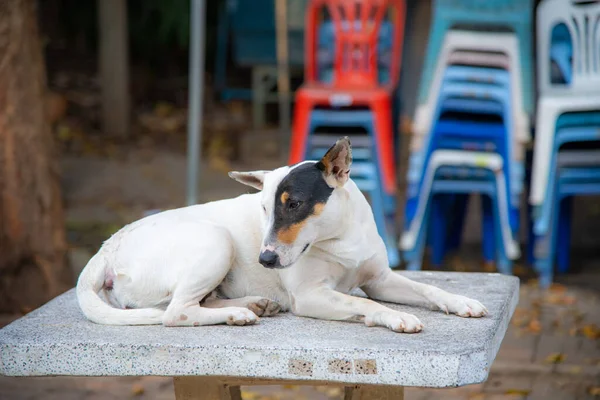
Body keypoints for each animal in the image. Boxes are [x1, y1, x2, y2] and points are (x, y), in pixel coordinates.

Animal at [76, 138, 488, 332]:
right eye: (263, 209)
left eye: (295, 205)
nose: (265, 260)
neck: (339, 238)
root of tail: (107, 248)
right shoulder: (311, 296)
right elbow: (364, 304)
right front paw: (394, 317)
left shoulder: (380, 279)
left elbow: (427, 289)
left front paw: (460, 302)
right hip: (215, 241)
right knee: (176, 312)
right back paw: (238, 314)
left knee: (191, 303)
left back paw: (253, 304)